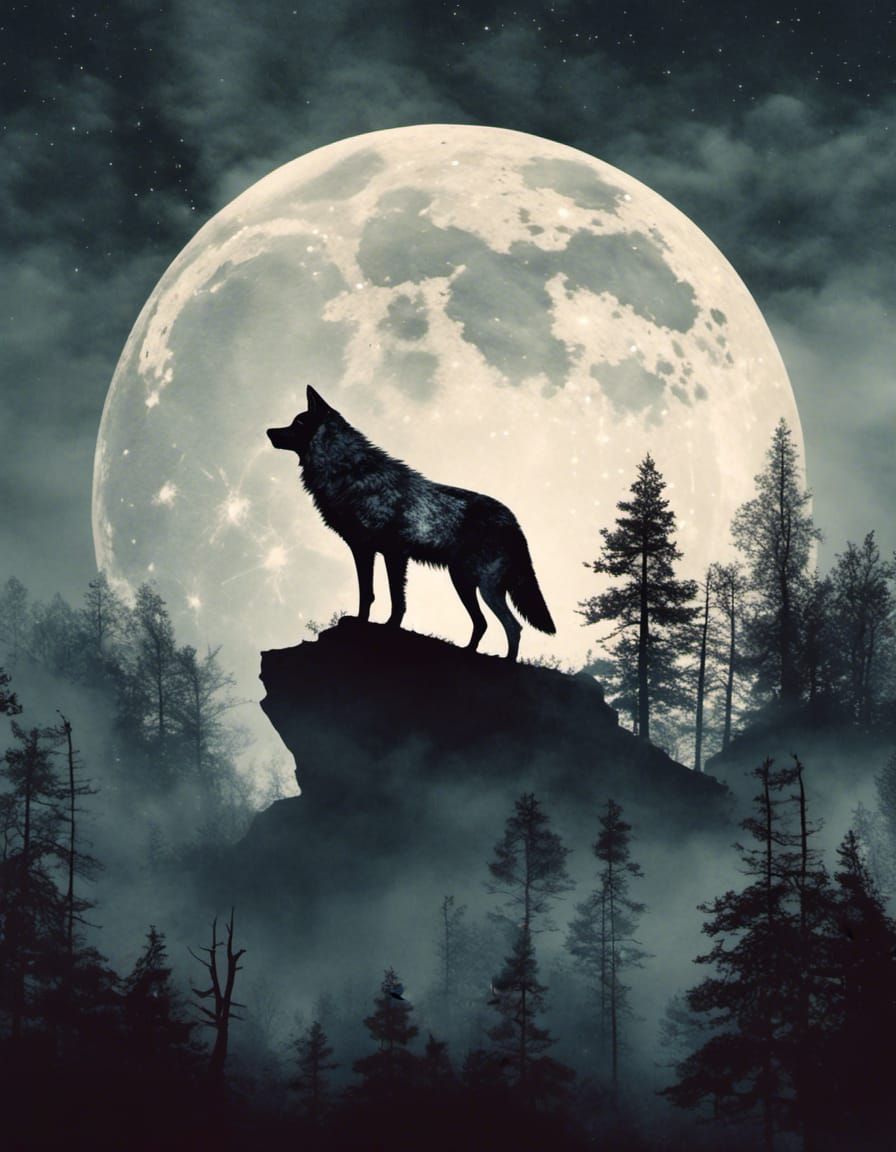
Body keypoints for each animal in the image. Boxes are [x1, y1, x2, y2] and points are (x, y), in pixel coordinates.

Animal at [267, 387, 556, 660]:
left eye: (298, 422)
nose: (269, 431)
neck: (349, 472)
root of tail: (513, 521)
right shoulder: (364, 550)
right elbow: (367, 594)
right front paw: (361, 622)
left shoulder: (393, 554)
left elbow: (396, 600)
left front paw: (388, 628)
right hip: (463, 583)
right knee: (483, 623)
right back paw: (468, 653)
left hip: (484, 588)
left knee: (513, 627)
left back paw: (507, 664)